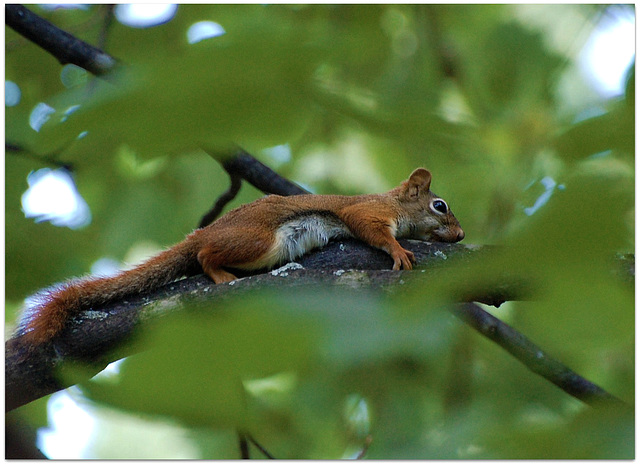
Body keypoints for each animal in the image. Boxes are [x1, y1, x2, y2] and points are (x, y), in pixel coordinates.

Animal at [15, 167, 464, 350]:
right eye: (440, 205)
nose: (461, 235)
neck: (396, 203)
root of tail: (206, 229)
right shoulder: (366, 211)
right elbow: (371, 229)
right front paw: (398, 250)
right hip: (258, 240)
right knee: (203, 254)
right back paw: (220, 273)